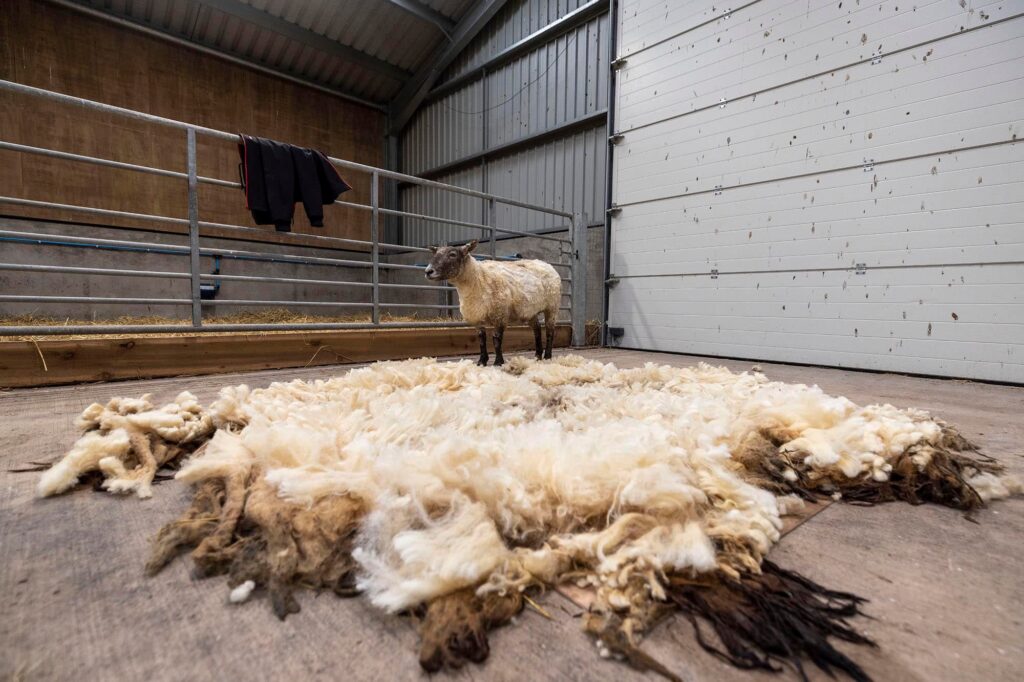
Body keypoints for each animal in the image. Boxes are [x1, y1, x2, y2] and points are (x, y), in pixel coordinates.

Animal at [423, 240, 561, 366]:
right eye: (435, 253)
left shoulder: (500, 314)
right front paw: (481, 361)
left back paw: (547, 356)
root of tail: (546, 264)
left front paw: (498, 362)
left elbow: (496, 339)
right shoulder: (477, 318)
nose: (428, 271)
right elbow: (481, 340)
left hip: (552, 306)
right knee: (537, 330)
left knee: (550, 331)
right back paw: (537, 355)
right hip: (530, 311)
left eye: (452, 254)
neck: (478, 279)